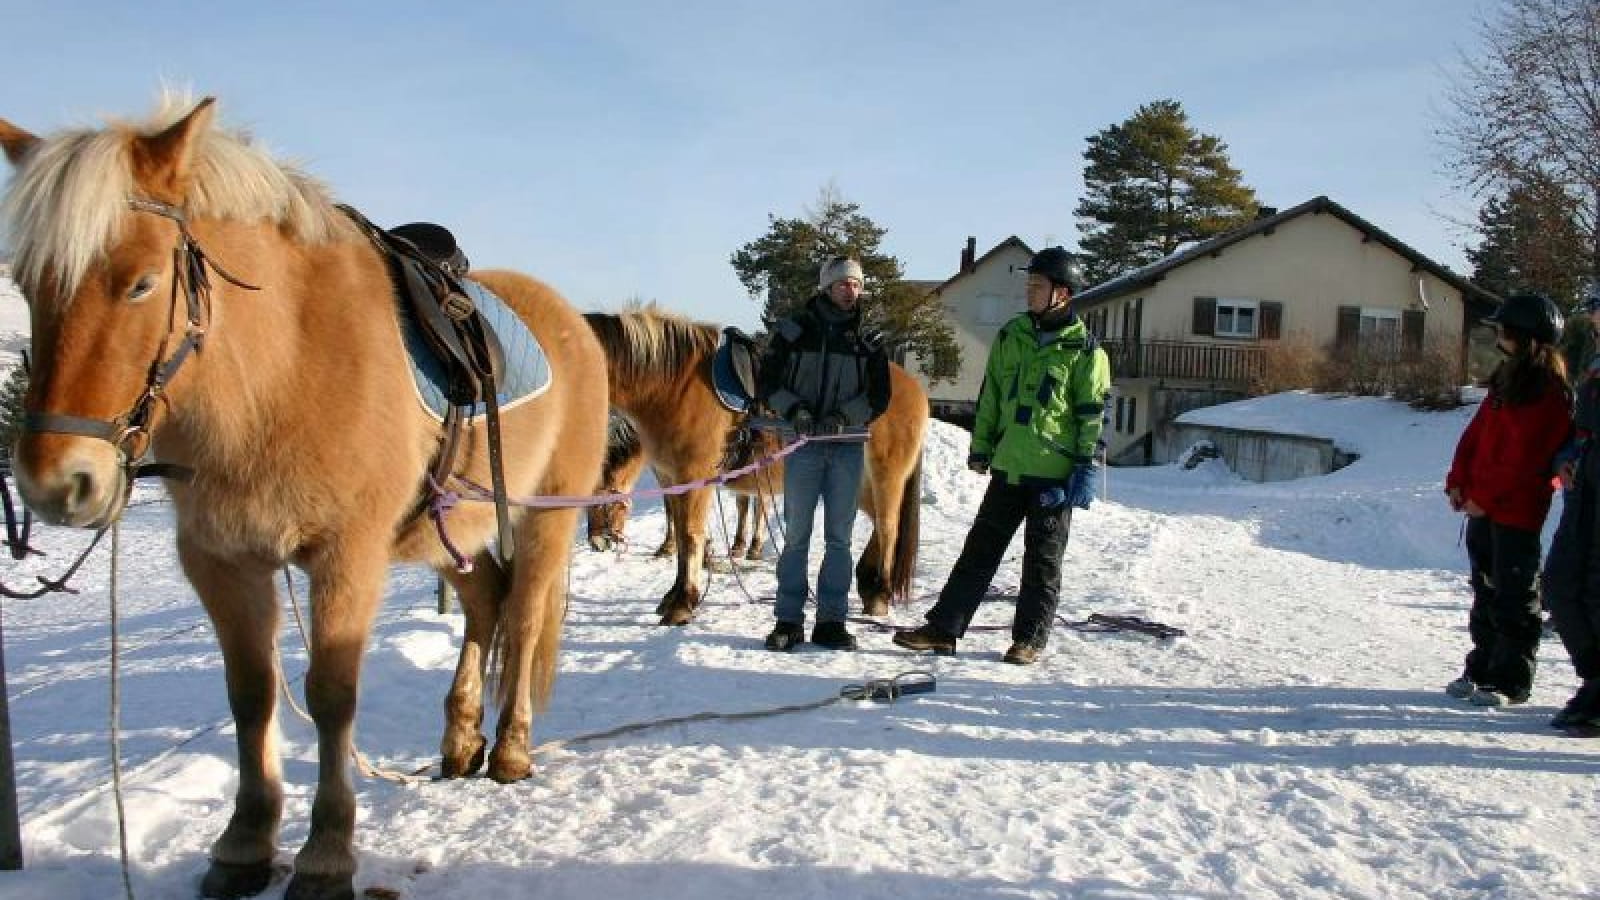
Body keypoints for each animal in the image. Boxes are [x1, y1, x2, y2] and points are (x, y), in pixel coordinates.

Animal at [0, 98, 604, 896]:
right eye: (27, 285)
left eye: (141, 283)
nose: (56, 481)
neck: (280, 370)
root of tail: (576, 324)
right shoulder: (222, 563)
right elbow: (252, 693)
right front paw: (246, 843)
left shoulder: (345, 558)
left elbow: (329, 695)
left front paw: (326, 853)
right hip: (451, 531)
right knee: (487, 606)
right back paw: (460, 737)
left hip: (545, 521)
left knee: (526, 617)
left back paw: (509, 750)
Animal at [585, 307, 928, 624]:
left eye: (603, 500)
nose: (597, 543)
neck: (674, 386)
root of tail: (914, 388)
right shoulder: (673, 479)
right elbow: (682, 533)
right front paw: (674, 594)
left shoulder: (695, 478)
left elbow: (691, 536)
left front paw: (682, 603)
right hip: (857, 481)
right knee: (878, 524)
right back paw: (867, 584)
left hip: (885, 476)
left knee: (889, 526)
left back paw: (879, 595)